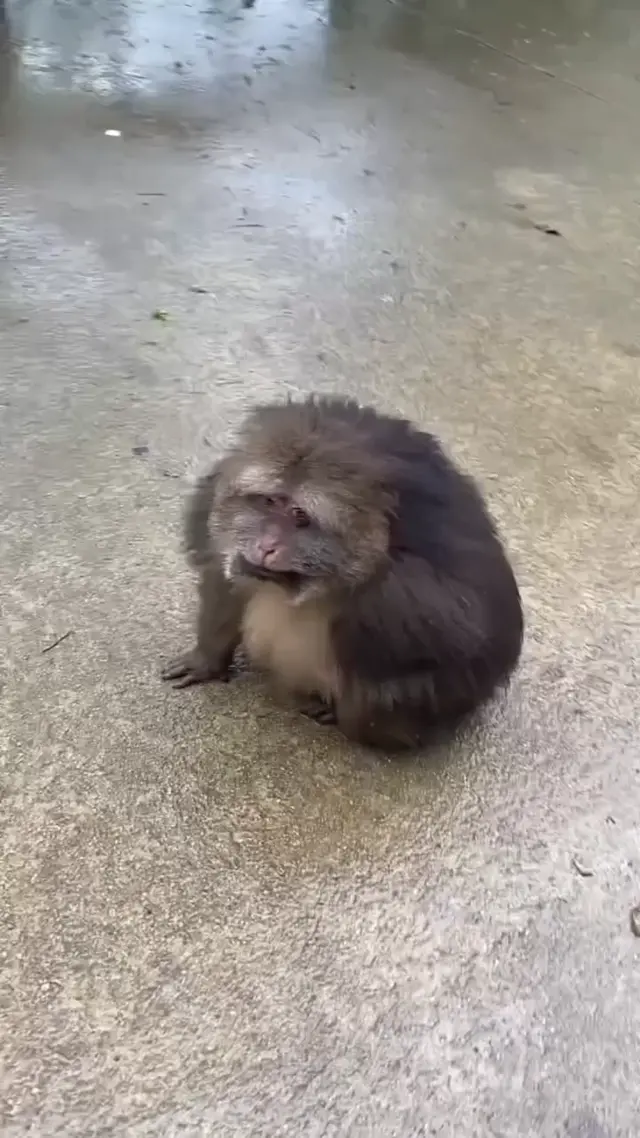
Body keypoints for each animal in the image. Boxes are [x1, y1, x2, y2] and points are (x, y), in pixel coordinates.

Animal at [162, 394, 523, 750]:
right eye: (269, 502)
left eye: (300, 516)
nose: (266, 546)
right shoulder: (216, 500)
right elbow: (223, 576)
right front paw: (208, 659)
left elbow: (458, 628)